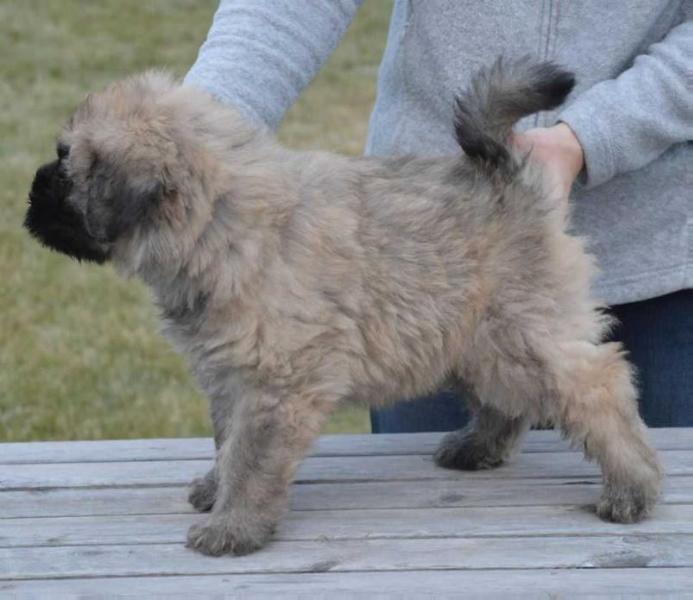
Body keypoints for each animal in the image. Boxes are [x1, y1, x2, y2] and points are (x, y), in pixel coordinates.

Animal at [23, 58, 660, 556]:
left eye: (64, 162)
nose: (29, 190)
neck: (219, 221)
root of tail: (506, 175)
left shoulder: (275, 385)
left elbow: (250, 458)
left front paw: (235, 526)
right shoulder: (230, 378)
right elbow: (227, 444)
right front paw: (216, 489)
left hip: (524, 333)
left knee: (600, 388)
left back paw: (633, 487)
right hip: (474, 341)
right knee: (509, 402)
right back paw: (477, 448)